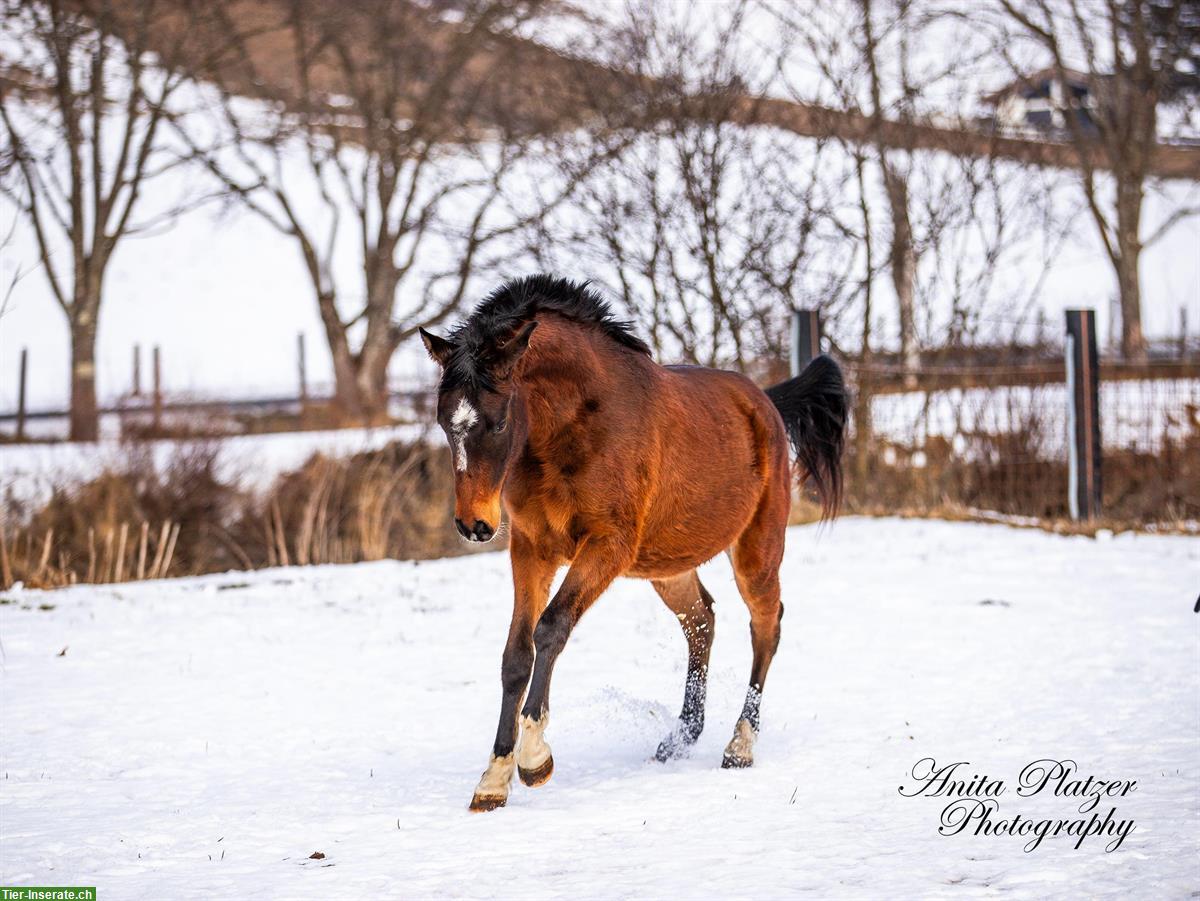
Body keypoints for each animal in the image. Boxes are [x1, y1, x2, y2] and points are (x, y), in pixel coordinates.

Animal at [417, 273, 849, 811]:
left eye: (497, 422)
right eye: (443, 423)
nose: (473, 524)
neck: (573, 427)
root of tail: (765, 403)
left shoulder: (606, 545)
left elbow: (550, 628)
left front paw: (535, 760)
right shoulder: (533, 549)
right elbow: (515, 653)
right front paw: (493, 779)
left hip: (757, 548)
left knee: (766, 625)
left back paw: (739, 746)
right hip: (666, 564)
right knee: (701, 621)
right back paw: (680, 739)